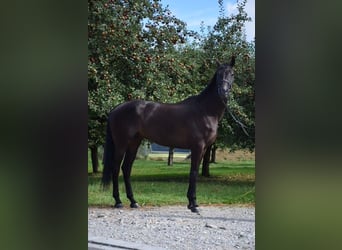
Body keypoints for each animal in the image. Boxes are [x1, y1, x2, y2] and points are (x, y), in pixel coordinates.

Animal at [102, 56, 235, 213]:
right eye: (219, 74)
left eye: (232, 74)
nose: (223, 91)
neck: (205, 111)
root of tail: (116, 109)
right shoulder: (197, 147)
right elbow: (193, 172)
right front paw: (193, 204)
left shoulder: (203, 149)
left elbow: (194, 172)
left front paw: (192, 203)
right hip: (121, 143)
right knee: (116, 168)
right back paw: (118, 201)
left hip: (134, 143)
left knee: (126, 168)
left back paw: (133, 201)